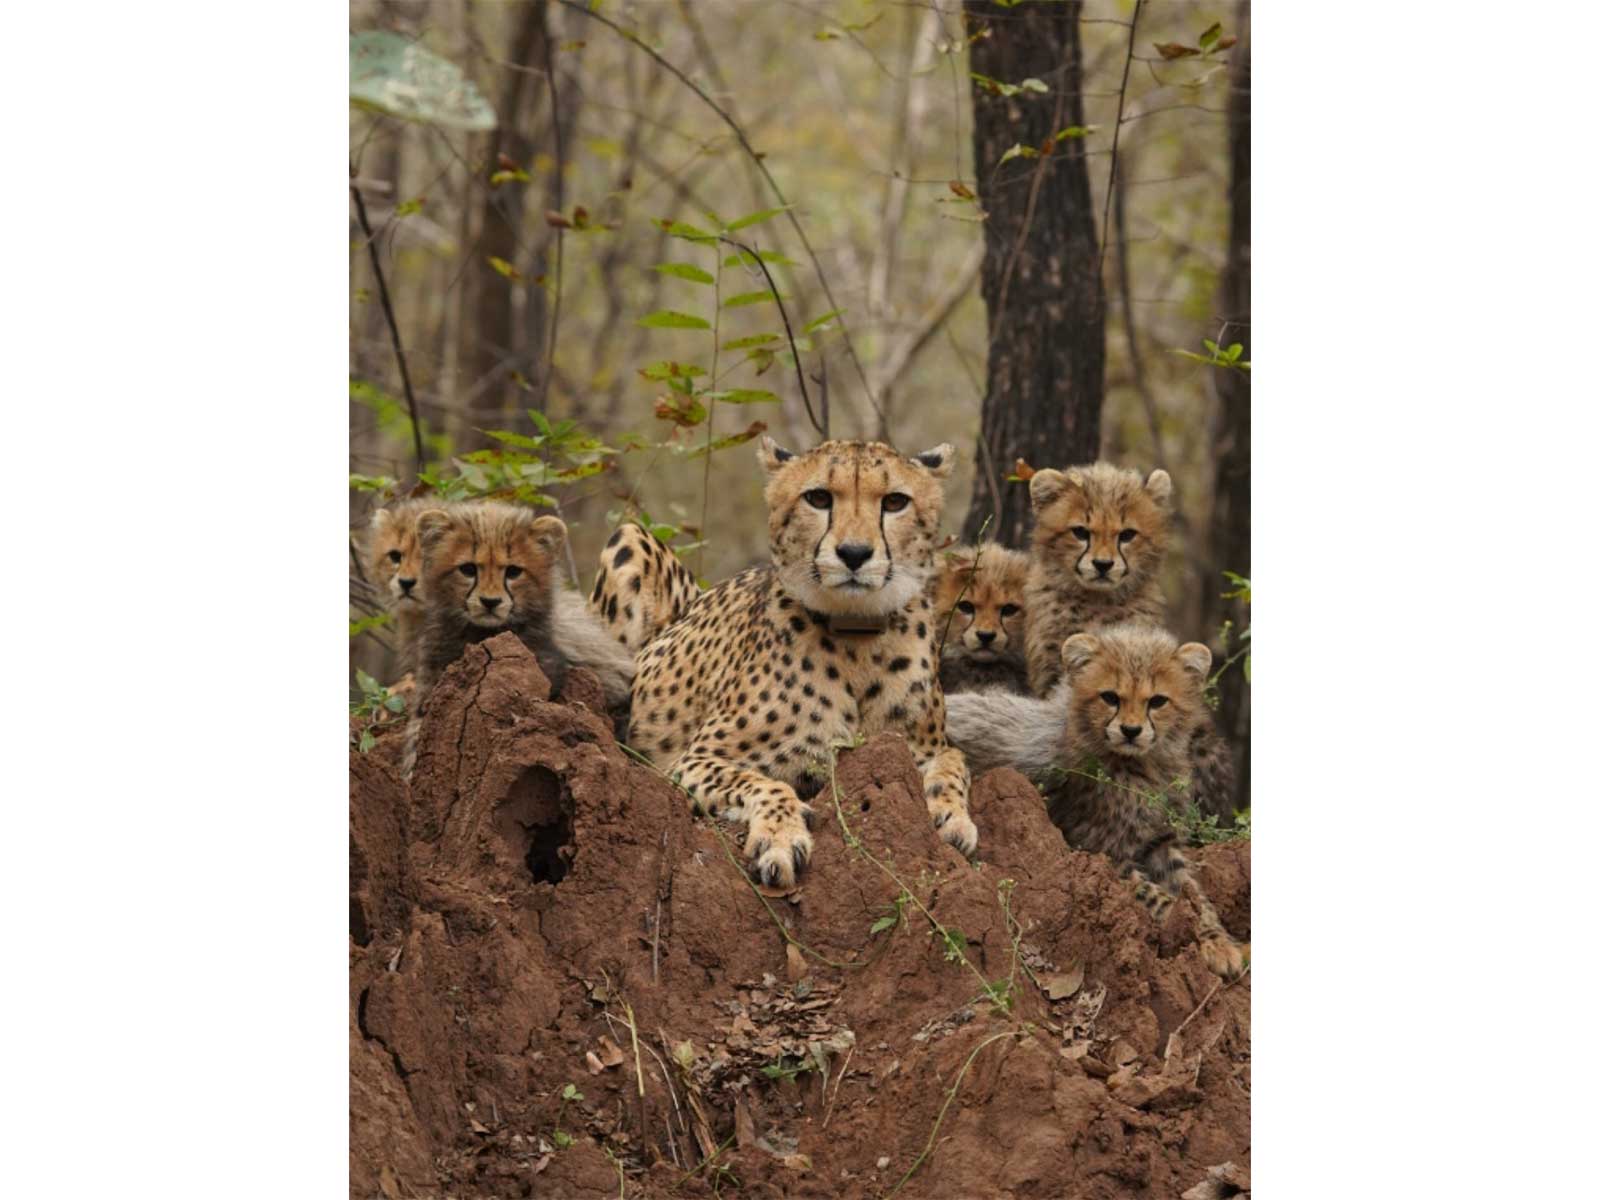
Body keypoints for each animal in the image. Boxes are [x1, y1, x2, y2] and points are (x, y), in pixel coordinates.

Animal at [625, 437, 975, 889]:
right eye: (819, 498)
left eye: (895, 501)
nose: (854, 553)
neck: (856, 636)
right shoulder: (691, 760)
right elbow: (761, 782)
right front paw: (780, 835)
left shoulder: (918, 747)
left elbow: (954, 761)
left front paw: (953, 814)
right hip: (631, 535)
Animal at [944, 622, 1247, 980]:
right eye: (1110, 697)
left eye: (1158, 701)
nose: (1130, 731)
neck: (1142, 765)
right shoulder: (1098, 850)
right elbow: (1161, 898)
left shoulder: (1161, 841)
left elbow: (1195, 895)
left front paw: (1220, 942)